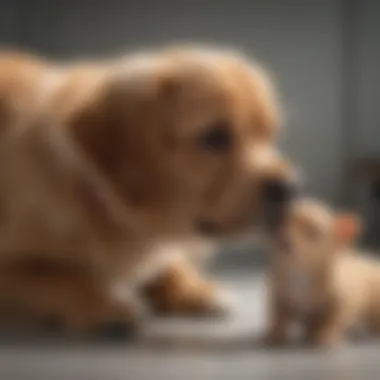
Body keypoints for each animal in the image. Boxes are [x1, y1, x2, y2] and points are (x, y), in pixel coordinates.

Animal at [0, 46, 296, 334]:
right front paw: (102, 306)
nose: (288, 189)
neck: (97, 199)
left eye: (268, 134)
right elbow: (57, 276)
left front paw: (192, 289)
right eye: (214, 137)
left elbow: (167, 263)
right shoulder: (13, 263)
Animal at [262, 197, 380, 348]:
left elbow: (332, 321)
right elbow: (279, 317)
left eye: (314, 233)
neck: (299, 272)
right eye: (282, 222)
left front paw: (326, 336)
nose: (283, 239)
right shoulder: (279, 297)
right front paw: (275, 334)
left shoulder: (340, 303)